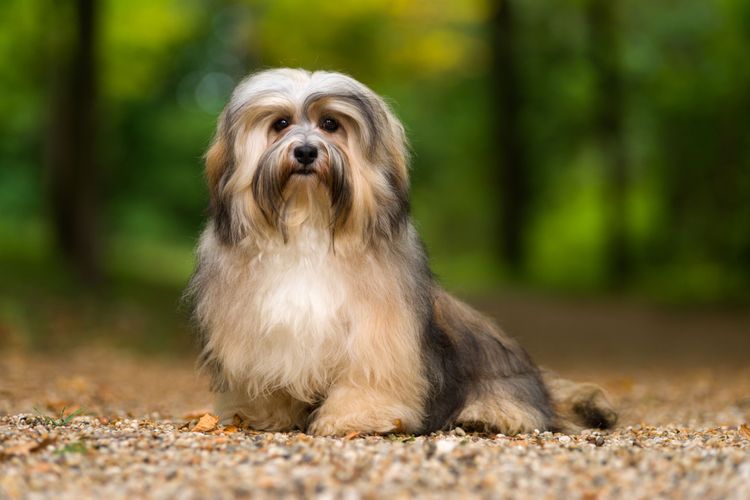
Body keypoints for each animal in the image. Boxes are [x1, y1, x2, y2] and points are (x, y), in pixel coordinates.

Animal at [187, 68, 616, 436]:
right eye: (279, 124)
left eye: (330, 124)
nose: (306, 152)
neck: (309, 225)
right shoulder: (261, 333)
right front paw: (262, 415)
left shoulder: (379, 332)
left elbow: (369, 376)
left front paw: (356, 418)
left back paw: (486, 416)